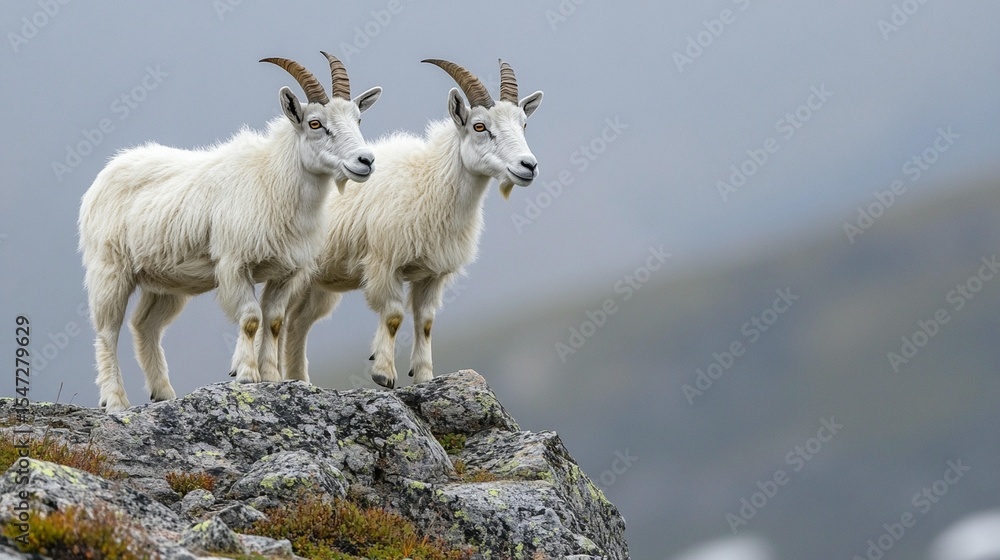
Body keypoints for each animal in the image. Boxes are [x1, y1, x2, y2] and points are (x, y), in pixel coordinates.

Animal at [78, 53, 382, 411]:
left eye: (358, 119)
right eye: (315, 124)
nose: (365, 161)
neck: (272, 179)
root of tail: (105, 175)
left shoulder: (286, 272)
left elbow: (274, 321)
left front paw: (271, 377)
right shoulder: (235, 264)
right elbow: (250, 318)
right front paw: (247, 375)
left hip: (165, 282)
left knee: (145, 326)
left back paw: (163, 393)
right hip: (110, 269)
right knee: (107, 332)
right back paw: (115, 401)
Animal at [282, 58, 542, 388]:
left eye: (524, 124)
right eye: (479, 126)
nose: (528, 166)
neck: (430, 180)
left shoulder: (432, 273)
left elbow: (426, 321)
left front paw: (424, 376)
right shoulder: (384, 264)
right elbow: (393, 316)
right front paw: (383, 374)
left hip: (317, 285)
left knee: (297, 323)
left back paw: (298, 380)